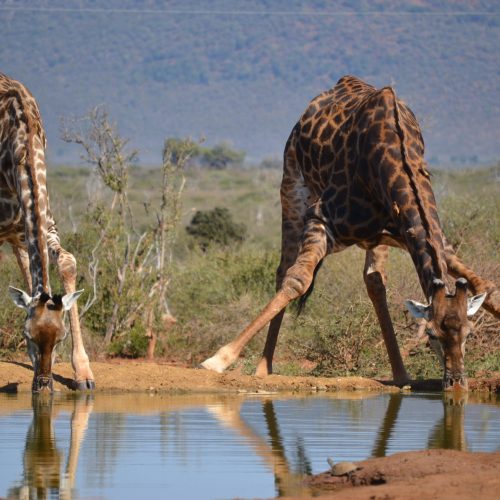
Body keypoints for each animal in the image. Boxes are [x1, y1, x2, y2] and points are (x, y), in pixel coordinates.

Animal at [0, 72, 94, 392]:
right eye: (26, 335)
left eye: (60, 338)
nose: (43, 385)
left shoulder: (44, 225)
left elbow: (66, 263)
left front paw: (83, 372)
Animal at [201, 74, 498, 390]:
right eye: (430, 334)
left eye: (469, 333)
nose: (456, 384)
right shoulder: (321, 218)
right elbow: (297, 280)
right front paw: (217, 360)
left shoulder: (418, 234)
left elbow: (484, 284)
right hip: (291, 191)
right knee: (284, 271)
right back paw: (263, 367)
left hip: (378, 238)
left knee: (375, 282)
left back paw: (400, 373)